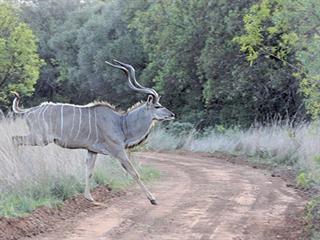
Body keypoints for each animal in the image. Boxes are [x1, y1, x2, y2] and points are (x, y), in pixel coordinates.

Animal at [11, 59, 175, 204]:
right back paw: (17, 171)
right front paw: (153, 199)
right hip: (40, 138)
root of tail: (29, 111)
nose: (172, 114)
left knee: (16, 140)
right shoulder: (118, 151)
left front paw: (89, 197)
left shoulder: (92, 150)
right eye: (157, 106)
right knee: (15, 139)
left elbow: (89, 171)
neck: (121, 123)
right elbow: (135, 173)